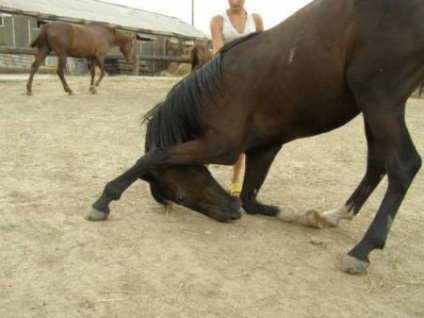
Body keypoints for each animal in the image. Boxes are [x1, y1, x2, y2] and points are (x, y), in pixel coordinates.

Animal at [87, 0, 424, 274]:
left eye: (181, 197)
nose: (230, 213)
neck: (213, 90)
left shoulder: (222, 147)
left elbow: (152, 156)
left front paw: (104, 200)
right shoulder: (264, 148)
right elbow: (250, 198)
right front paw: (295, 215)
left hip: (379, 97)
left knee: (403, 165)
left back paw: (362, 250)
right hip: (370, 106)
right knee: (377, 163)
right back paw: (332, 216)